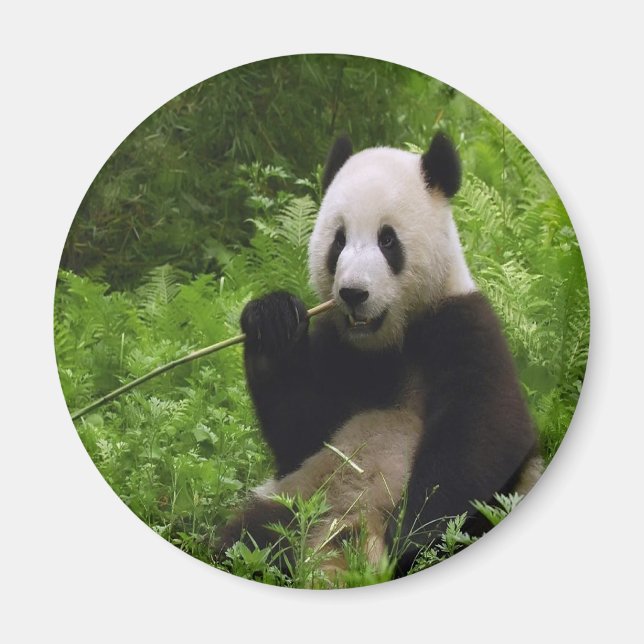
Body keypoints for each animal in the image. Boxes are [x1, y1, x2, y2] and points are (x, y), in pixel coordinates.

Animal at [217, 132, 543, 579]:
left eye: (387, 240)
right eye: (338, 240)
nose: (353, 293)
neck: (388, 343)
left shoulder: (463, 326)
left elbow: (485, 434)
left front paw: (411, 536)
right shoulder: (338, 349)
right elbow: (300, 432)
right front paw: (273, 322)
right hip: (302, 496)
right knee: (249, 537)